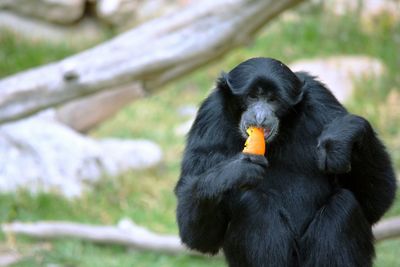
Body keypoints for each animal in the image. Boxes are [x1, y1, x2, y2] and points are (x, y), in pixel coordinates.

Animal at [175, 57, 396, 266]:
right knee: (252, 203)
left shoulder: (321, 98)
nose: (260, 115)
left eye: (273, 100)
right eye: (252, 97)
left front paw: (343, 135)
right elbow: (198, 237)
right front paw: (233, 170)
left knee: (344, 205)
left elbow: (376, 204)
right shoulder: (210, 117)